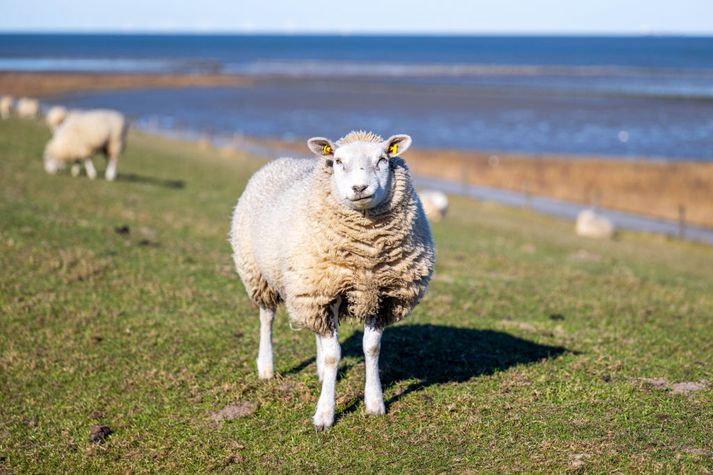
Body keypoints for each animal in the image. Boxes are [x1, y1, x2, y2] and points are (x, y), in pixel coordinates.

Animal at [232, 130, 434, 432]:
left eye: (383, 159)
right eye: (338, 161)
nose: (360, 188)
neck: (366, 253)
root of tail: (283, 159)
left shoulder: (379, 295)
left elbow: (371, 348)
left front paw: (374, 402)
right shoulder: (325, 292)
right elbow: (333, 355)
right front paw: (324, 414)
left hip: (313, 286)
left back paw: (318, 371)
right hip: (261, 274)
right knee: (267, 318)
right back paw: (266, 368)